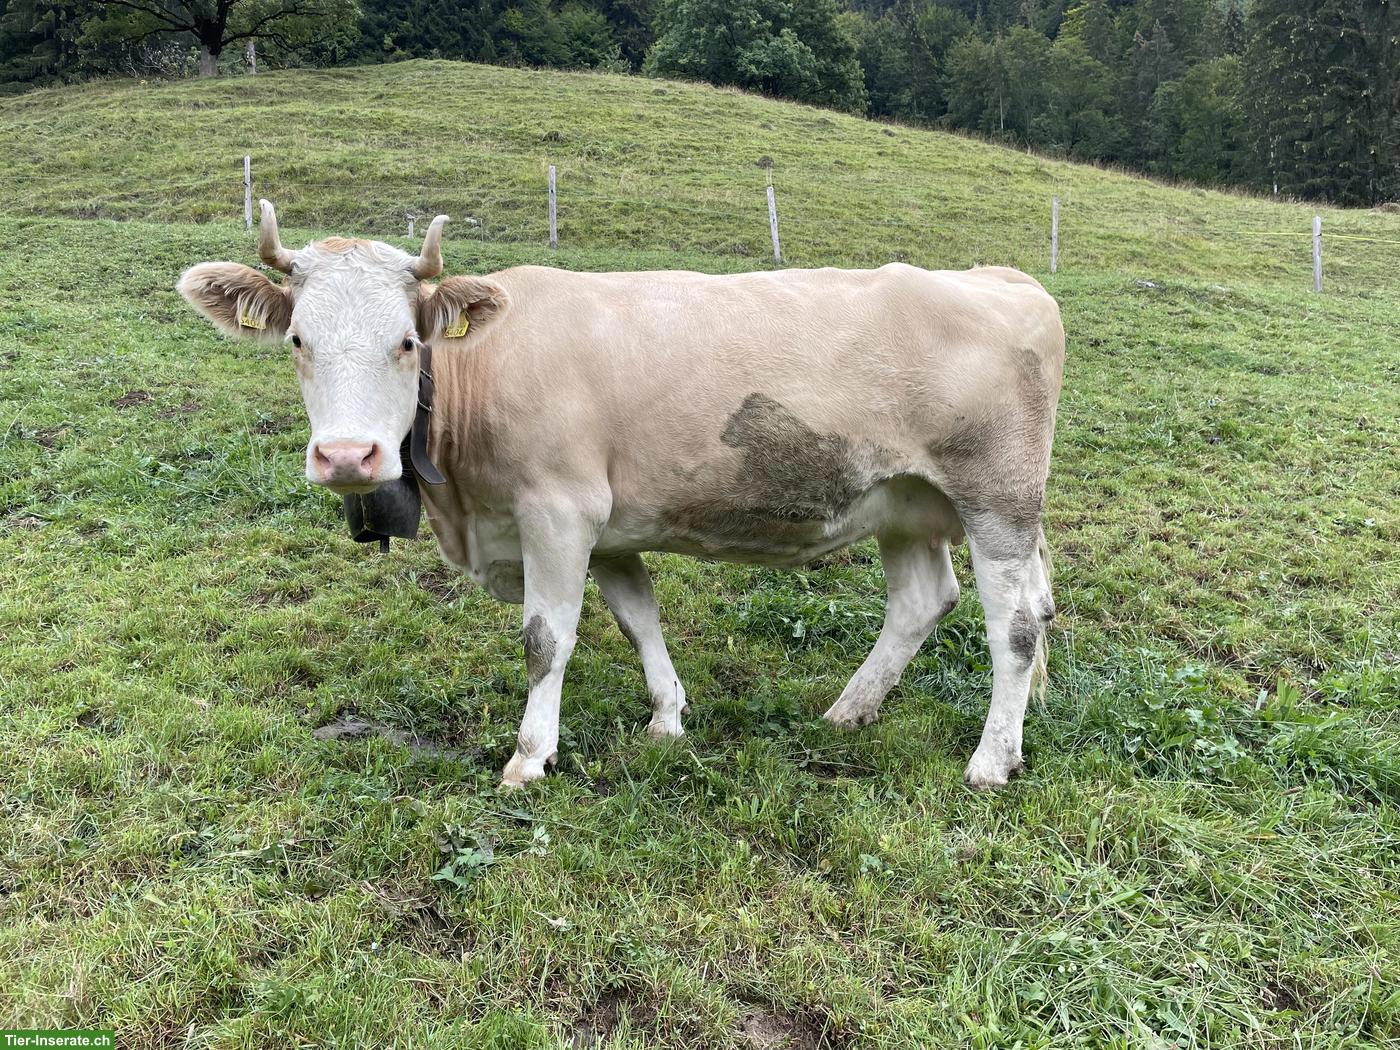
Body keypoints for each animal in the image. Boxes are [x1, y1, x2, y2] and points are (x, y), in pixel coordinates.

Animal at [178, 201, 1064, 790]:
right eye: (299, 340)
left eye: (405, 342)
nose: (347, 456)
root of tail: (1002, 278)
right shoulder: (606, 528)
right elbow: (640, 619)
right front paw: (668, 718)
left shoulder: (558, 510)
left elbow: (546, 640)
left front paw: (529, 756)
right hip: (906, 503)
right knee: (923, 600)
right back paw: (852, 711)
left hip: (998, 501)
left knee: (1016, 625)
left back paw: (991, 759)